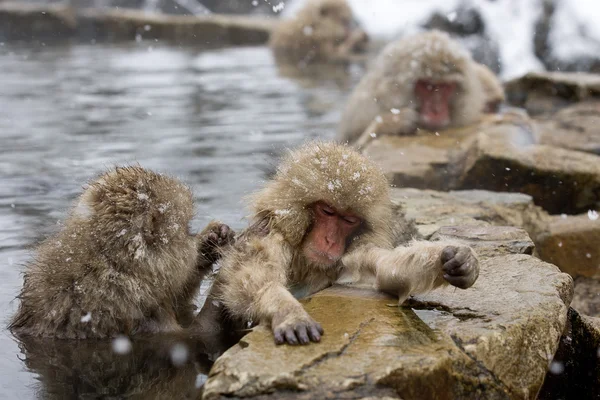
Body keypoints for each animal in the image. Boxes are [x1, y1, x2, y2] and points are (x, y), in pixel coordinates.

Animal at [11, 167, 234, 340]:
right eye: (186, 229)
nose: (193, 236)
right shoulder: (128, 304)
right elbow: (192, 334)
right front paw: (218, 297)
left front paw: (213, 239)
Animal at [199, 142, 480, 346]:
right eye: (327, 211)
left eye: (348, 220)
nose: (330, 240)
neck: (305, 264)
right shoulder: (269, 234)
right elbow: (251, 279)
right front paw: (287, 311)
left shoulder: (351, 255)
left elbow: (386, 269)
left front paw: (460, 260)